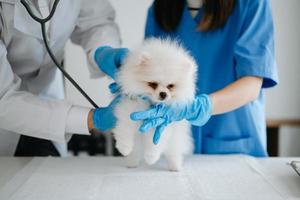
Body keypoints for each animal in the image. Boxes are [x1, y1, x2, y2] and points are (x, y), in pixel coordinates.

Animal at [112, 38, 197, 171]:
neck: (150, 104)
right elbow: (125, 129)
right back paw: (132, 163)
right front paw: (124, 148)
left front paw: (151, 157)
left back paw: (175, 166)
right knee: (135, 153)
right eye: (153, 84)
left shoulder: (161, 123)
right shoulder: (129, 110)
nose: (163, 94)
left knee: (174, 153)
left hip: (176, 141)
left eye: (170, 86)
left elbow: (154, 141)